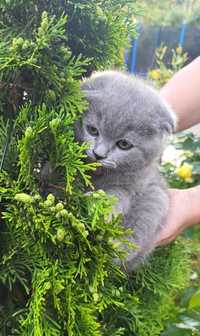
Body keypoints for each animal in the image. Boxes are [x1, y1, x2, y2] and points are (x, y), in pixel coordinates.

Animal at [76, 70, 175, 270]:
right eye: (92, 130)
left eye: (124, 144)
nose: (99, 154)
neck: (100, 173)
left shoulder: (132, 185)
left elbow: (117, 195)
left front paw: (100, 205)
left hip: (156, 198)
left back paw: (114, 248)